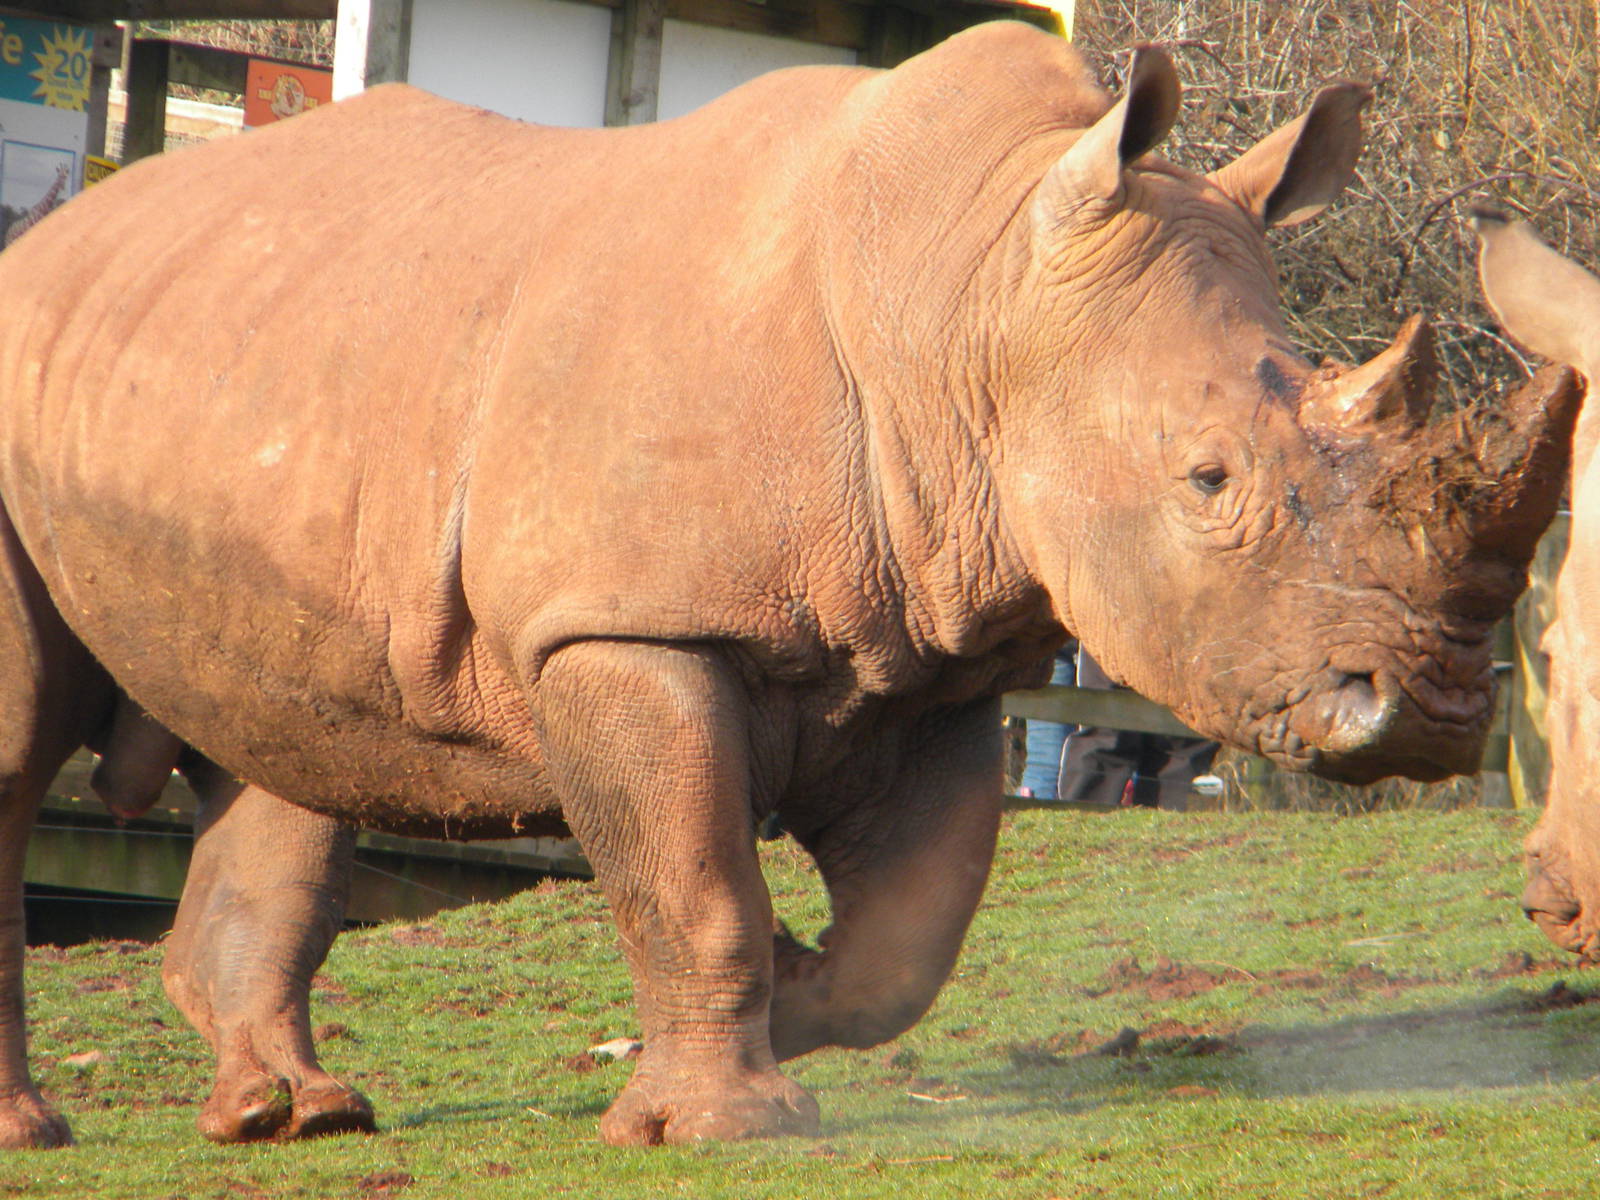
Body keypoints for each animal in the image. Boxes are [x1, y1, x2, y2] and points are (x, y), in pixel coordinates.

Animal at [0, 23, 1578, 1149]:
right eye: (1206, 480)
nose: (1439, 713)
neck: (972, 297)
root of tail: (52, 243)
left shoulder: (934, 657)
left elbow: (912, 938)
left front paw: (799, 988)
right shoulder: (626, 626)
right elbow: (694, 880)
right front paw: (717, 1125)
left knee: (288, 735)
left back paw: (290, 1117)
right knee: (31, 749)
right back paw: (56, 1129)